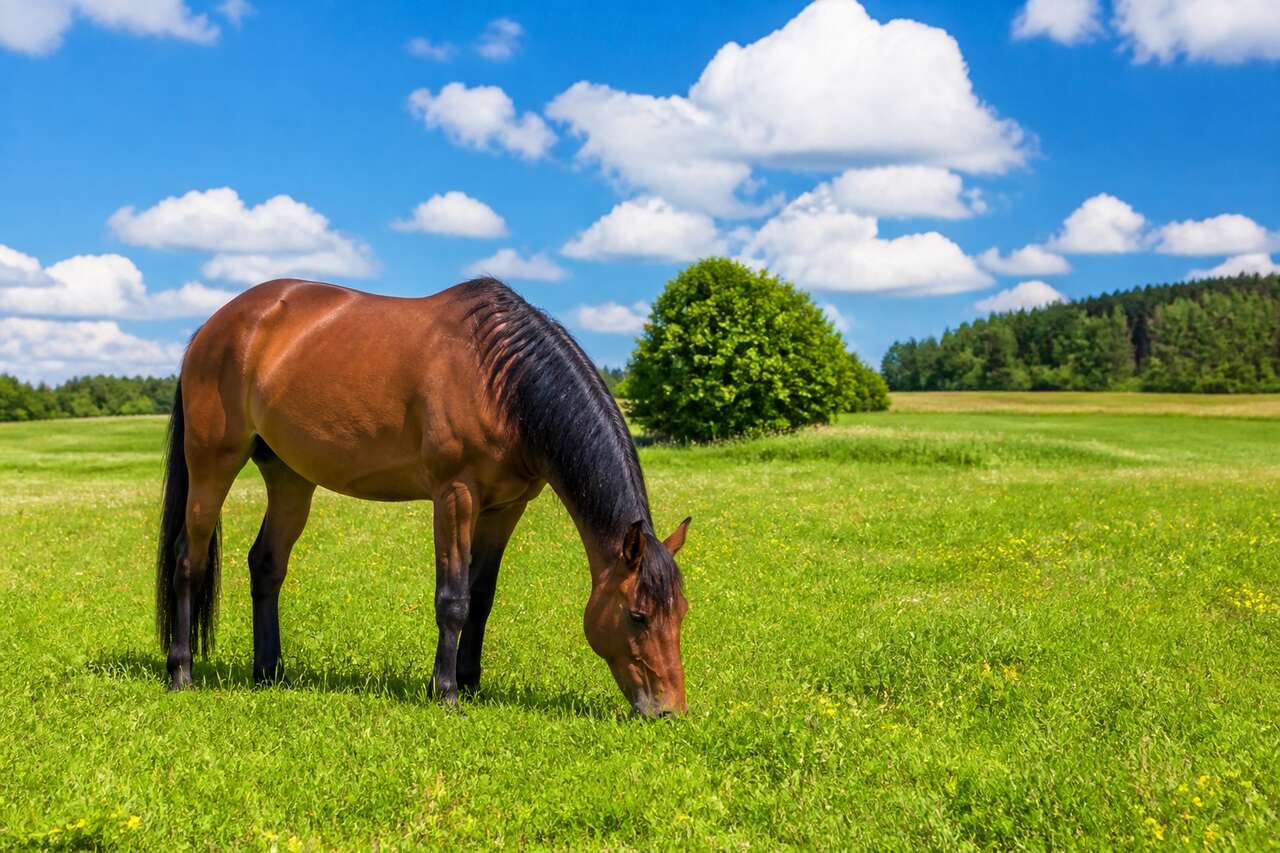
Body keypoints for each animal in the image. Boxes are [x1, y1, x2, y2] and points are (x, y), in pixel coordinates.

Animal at [154, 277, 691, 717]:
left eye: (681, 611)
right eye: (638, 615)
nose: (669, 710)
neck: (500, 379)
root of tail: (215, 326)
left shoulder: (506, 507)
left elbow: (482, 596)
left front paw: (471, 683)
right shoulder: (456, 495)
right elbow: (453, 597)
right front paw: (446, 692)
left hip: (289, 479)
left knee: (266, 564)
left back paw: (270, 673)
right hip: (212, 463)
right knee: (188, 560)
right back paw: (181, 672)